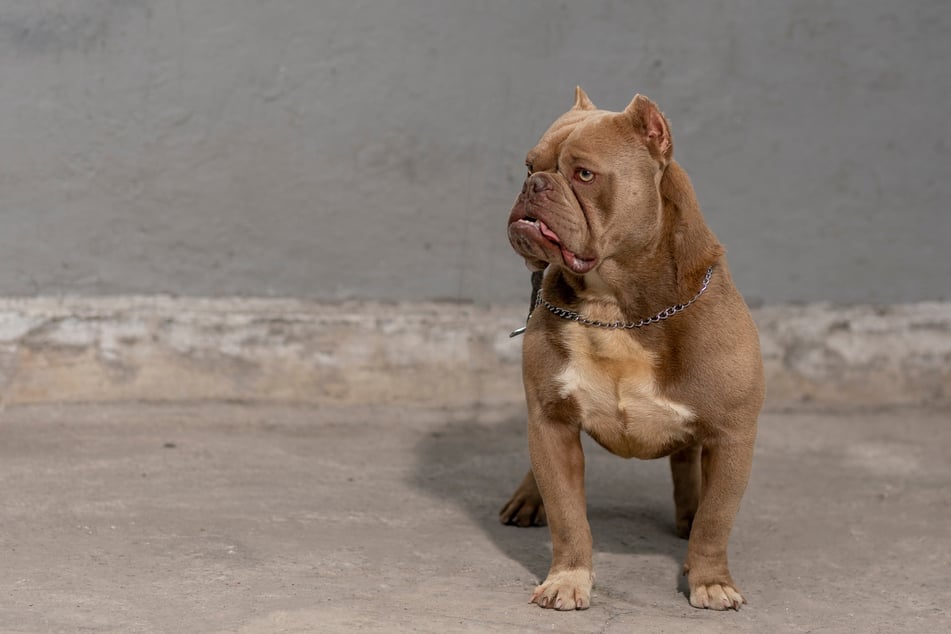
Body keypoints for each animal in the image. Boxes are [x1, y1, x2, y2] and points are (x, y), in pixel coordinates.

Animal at [498, 87, 768, 608]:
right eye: (528, 166)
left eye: (584, 174)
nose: (534, 185)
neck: (615, 305)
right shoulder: (551, 422)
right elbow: (568, 516)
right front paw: (568, 578)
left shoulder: (732, 436)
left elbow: (715, 520)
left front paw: (710, 579)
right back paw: (526, 498)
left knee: (688, 467)